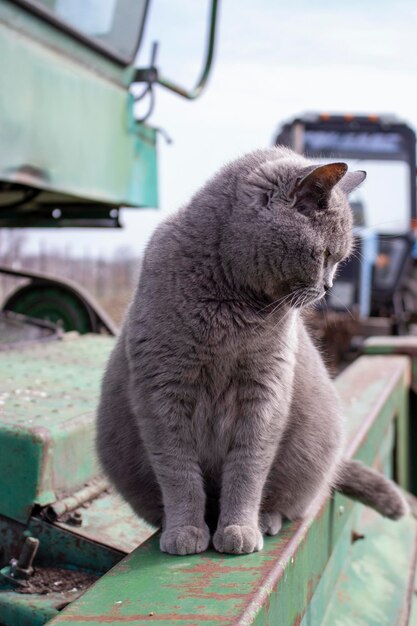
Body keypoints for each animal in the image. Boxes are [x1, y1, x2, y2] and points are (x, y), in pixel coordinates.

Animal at [96, 147, 408, 556]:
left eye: (339, 260)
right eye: (325, 254)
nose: (328, 287)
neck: (230, 303)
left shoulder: (264, 391)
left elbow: (249, 466)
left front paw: (239, 529)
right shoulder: (162, 391)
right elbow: (178, 472)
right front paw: (185, 531)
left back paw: (264, 520)